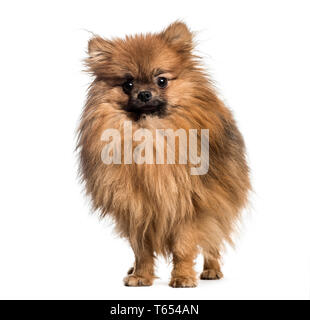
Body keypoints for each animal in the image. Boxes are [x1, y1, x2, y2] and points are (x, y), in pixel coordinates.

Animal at [77, 22, 249, 288]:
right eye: (128, 84)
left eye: (161, 81)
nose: (144, 94)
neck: (150, 134)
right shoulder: (137, 208)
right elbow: (142, 251)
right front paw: (140, 275)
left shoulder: (190, 206)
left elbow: (183, 247)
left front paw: (183, 277)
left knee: (213, 242)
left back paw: (211, 270)